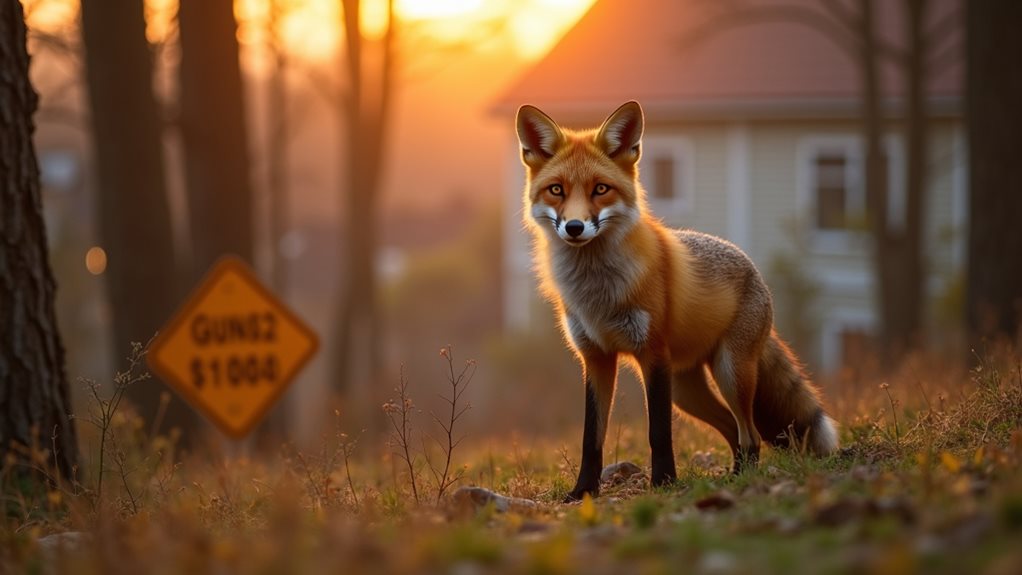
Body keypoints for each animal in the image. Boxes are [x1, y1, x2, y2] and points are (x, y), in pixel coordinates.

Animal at [515, 101, 839, 502]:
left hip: (728, 373)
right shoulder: (596, 358)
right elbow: (592, 438)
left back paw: (741, 478)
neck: (598, 292)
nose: (574, 228)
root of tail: (753, 269)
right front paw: (583, 491)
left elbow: (658, 433)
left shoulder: (653, 355)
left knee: (750, 433)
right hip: (687, 391)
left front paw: (664, 483)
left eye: (601, 189)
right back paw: (732, 476)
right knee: (733, 428)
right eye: (557, 190)